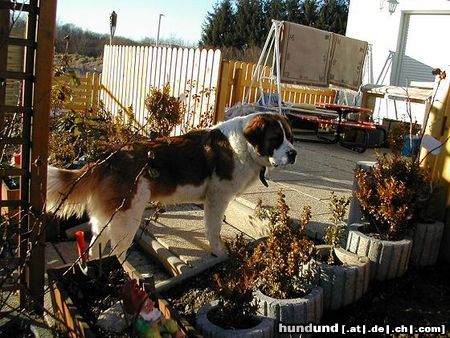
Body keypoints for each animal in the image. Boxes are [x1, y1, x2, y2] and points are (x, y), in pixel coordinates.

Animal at [47, 112, 298, 260]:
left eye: (290, 137)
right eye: (275, 139)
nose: (294, 154)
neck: (245, 146)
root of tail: (107, 158)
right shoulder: (217, 198)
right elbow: (213, 229)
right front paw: (219, 253)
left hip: (107, 218)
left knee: (95, 246)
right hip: (127, 217)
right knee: (119, 253)